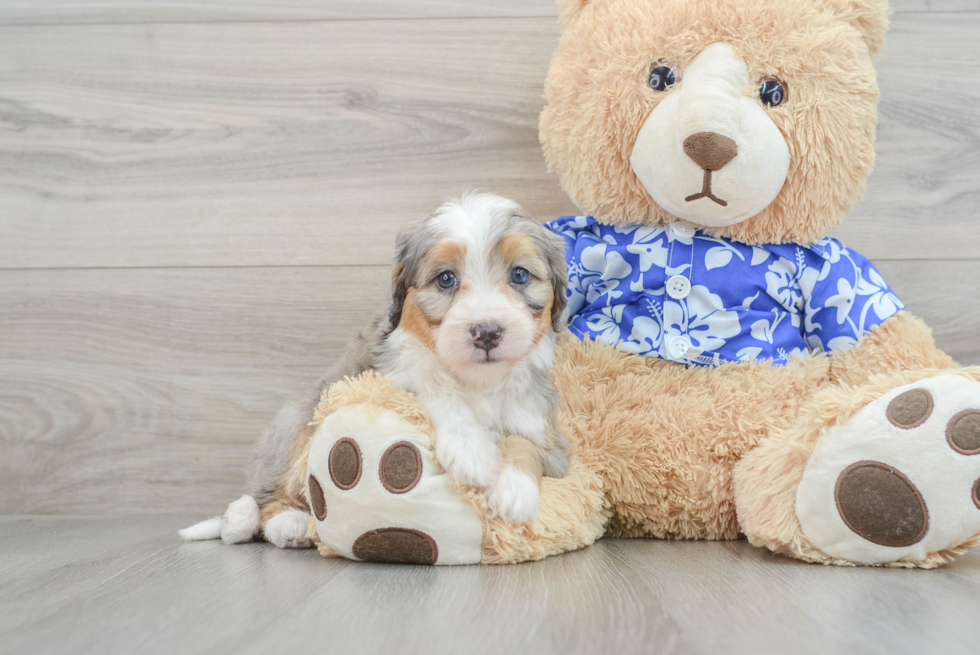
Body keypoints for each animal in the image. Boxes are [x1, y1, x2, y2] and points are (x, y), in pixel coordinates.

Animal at [180, 193, 572, 548]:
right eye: (446, 279)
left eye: (519, 274)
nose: (487, 331)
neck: (478, 381)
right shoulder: (388, 373)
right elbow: (433, 387)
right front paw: (471, 449)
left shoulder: (548, 436)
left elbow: (524, 444)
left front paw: (515, 488)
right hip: (296, 422)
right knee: (267, 497)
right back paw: (267, 522)